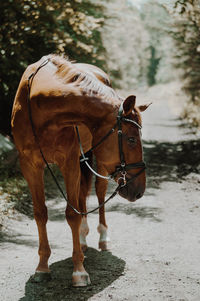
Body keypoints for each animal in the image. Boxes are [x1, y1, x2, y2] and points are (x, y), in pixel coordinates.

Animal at [11, 54, 148, 286]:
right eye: (130, 139)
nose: (139, 190)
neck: (40, 107)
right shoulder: (30, 165)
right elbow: (40, 213)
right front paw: (42, 267)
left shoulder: (69, 163)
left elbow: (71, 214)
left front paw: (79, 271)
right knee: (83, 194)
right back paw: (82, 239)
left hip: (96, 160)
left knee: (99, 191)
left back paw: (102, 238)